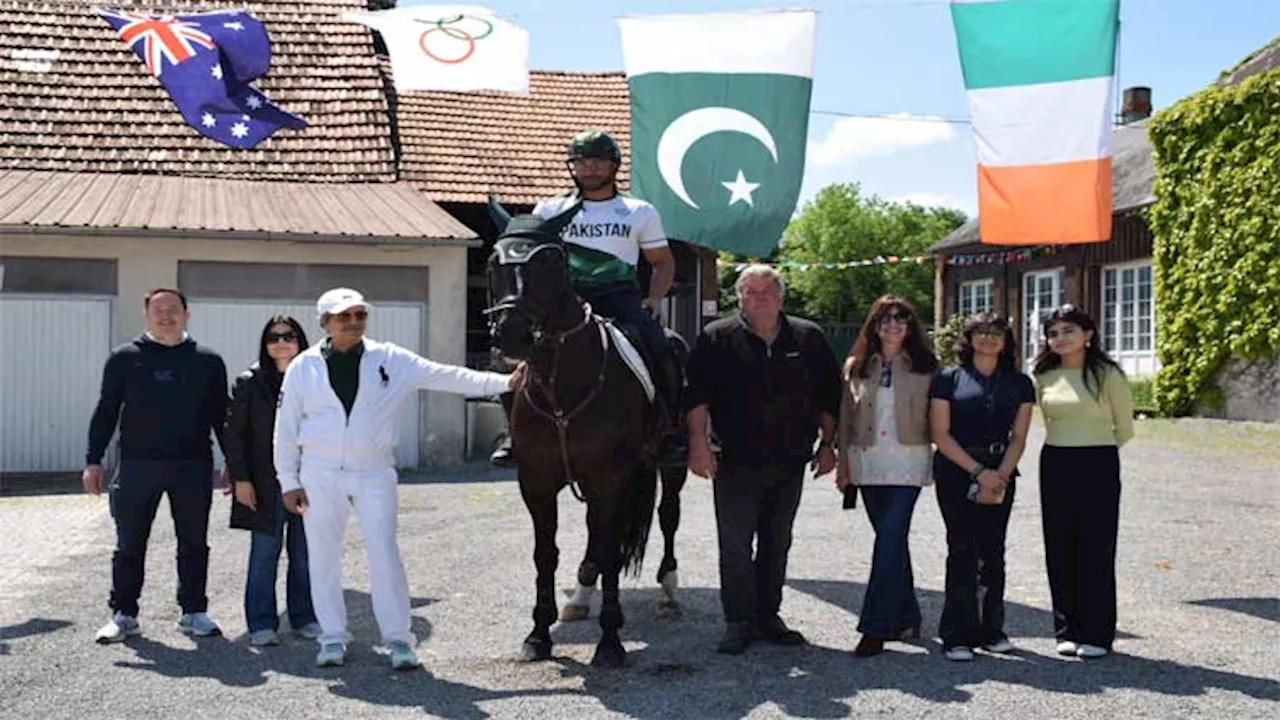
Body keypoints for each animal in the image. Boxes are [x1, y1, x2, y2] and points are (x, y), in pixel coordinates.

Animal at [481, 196, 660, 666]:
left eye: (550, 262)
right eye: (492, 262)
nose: (512, 334)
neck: (564, 383)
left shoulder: (610, 479)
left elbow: (612, 554)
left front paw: (611, 641)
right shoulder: (537, 481)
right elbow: (546, 555)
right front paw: (538, 634)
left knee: (663, 524)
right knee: (595, 541)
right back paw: (579, 596)